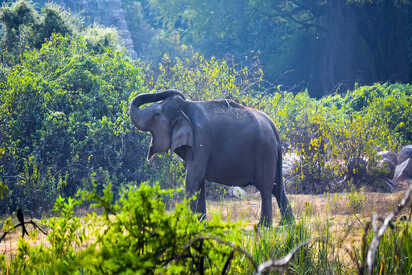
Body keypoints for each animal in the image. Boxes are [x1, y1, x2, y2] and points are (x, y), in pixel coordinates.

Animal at [129, 90, 292, 226]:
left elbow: (192, 181)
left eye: (156, 114)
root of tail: (273, 126)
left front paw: (187, 224)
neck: (186, 108)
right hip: (272, 154)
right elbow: (198, 182)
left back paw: (263, 226)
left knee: (265, 188)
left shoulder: (201, 141)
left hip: (265, 151)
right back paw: (286, 224)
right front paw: (201, 224)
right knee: (277, 187)